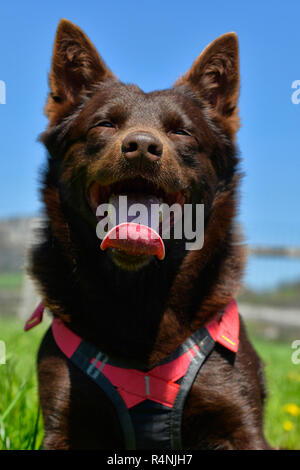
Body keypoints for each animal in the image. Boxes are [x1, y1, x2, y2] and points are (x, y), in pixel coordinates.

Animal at [31, 18, 270, 450]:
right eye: (105, 124)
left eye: (182, 132)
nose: (142, 146)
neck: (140, 294)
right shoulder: (64, 422)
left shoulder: (239, 423)